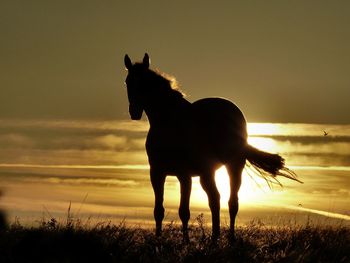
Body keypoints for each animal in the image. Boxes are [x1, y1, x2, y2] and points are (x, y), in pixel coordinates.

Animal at [122, 53, 298, 241]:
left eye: (145, 83)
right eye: (127, 82)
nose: (134, 112)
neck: (170, 123)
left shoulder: (184, 175)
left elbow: (184, 211)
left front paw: (186, 242)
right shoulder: (157, 173)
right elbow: (158, 211)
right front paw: (158, 240)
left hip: (233, 167)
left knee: (231, 202)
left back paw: (229, 238)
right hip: (207, 173)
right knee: (215, 199)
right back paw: (215, 237)